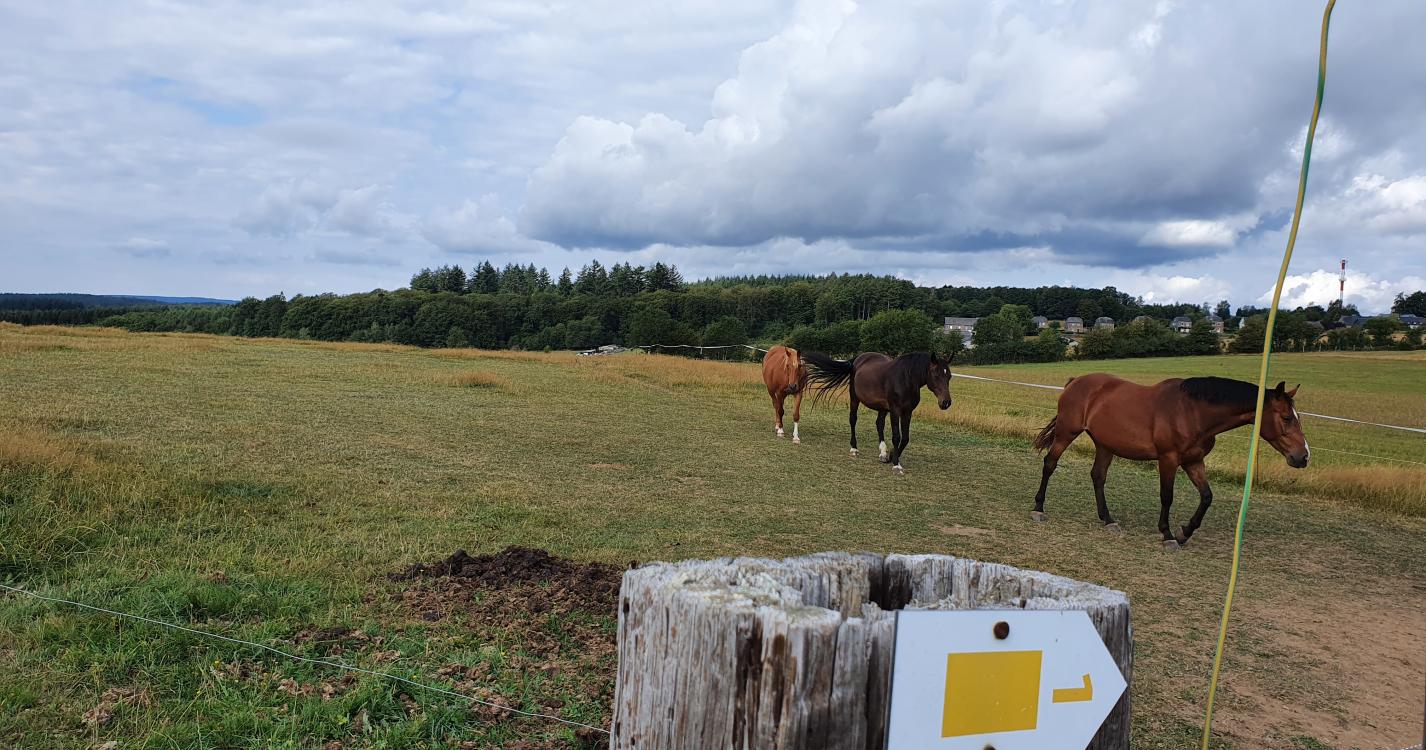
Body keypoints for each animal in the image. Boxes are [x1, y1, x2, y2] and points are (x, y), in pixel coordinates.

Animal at [802, 351, 953, 474]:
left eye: (949, 376)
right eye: (936, 374)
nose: (946, 402)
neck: (906, 379)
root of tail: (858, 358)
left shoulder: (907, 412)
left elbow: (905, 438)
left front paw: (890, 456)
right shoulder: (895, 410)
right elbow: (896, 437)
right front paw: (896, 465)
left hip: (882, 408)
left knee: (879, 424)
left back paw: (883, 452)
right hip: (854, 398)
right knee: (853, 420)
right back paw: (854, 448)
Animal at [1031, 375, 1310, 550]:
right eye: (1286, 418)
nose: (1303, 456)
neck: (1193, 412)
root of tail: (1075, 382)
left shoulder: (1194, 462)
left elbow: (1207, 497)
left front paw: (1184, 532)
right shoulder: (1168, 459)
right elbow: (1167, 496)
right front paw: (1167, 535)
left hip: (1105, 445)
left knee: (1098, 476)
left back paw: (1108, 520)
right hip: (1066, 433)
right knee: (1050, 464)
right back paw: (1039, 508)